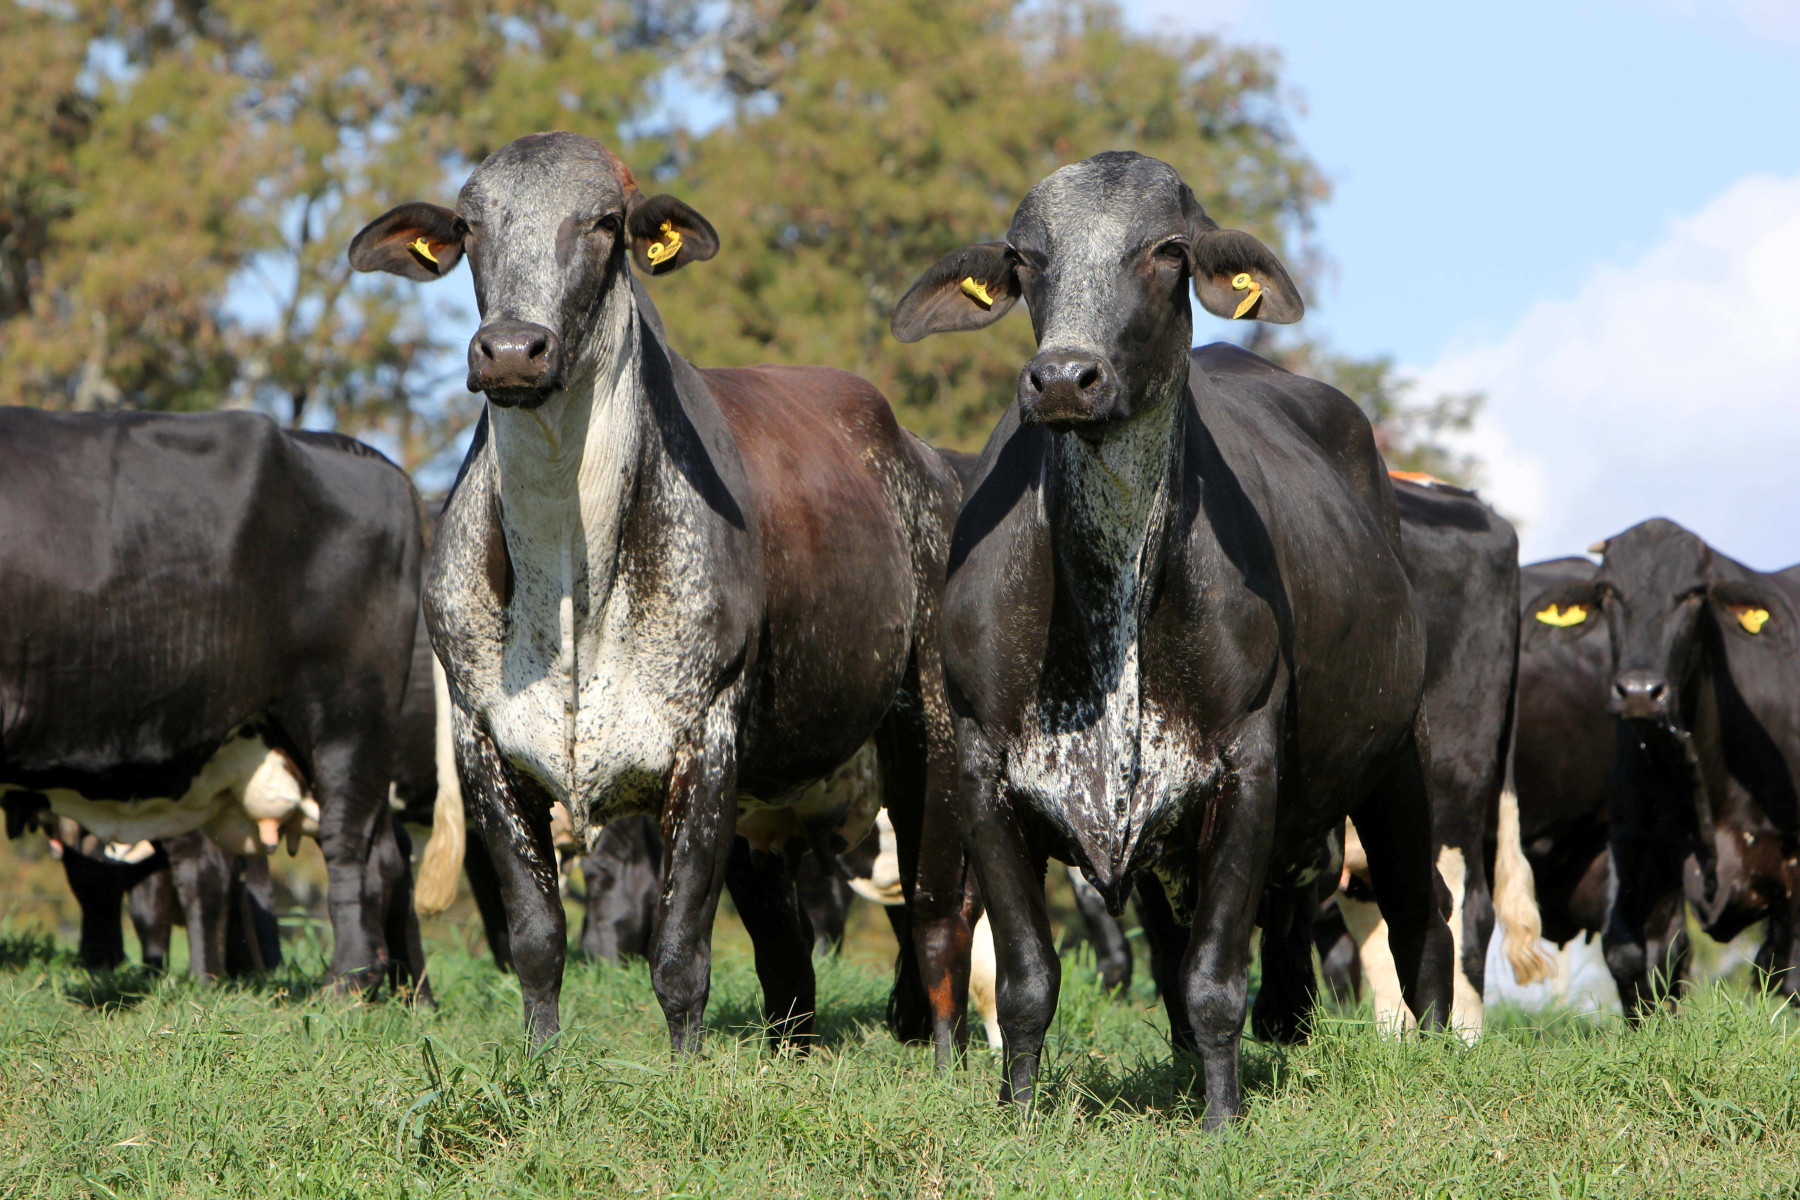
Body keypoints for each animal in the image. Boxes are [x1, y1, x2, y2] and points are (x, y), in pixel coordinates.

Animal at [349, 131, 969, 1058]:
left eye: (605, 222)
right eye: (469, 225)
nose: (511, 350)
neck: (572, 575)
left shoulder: (704, 741)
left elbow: (678, 949)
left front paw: (684, 1069)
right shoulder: (483, 742)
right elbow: (536, 936)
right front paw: (542, 1057)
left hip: (923, 737)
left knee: (934, 911)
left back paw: (945, 1047)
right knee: (788, 947)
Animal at [891, 151, 1454, 1126]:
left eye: (1167, 250)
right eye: (1024, 258)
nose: (1063, 378)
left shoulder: (1248, 766)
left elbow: (1214, 980)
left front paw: (1223, 1124)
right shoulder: (981, 769)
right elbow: (1028, 979)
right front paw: (1020, 1119)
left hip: (1398, 764)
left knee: (1422, 917)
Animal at [1540, 519, 1800, 1017]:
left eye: (1695, 593)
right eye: (1607, 591)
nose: (1640, 691)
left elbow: (1788, 972)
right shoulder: (1636, 844)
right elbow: (1638, 957)